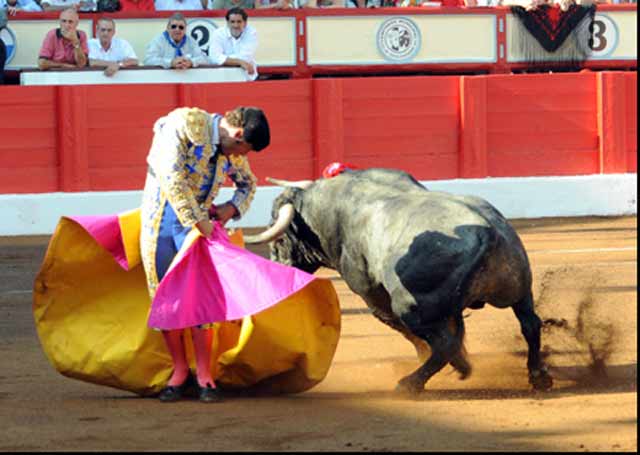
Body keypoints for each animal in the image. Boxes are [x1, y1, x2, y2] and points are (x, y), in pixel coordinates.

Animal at [242, 168, 552, 396]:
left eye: (279, 236)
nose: (276, 268)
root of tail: (490, 233)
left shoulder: (373, 295)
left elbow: (406, 330)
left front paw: (455, 364)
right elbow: (457, 331)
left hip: (411, 307)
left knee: (442, 343)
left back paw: (412, 383)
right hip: (520, 290)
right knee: (529, 324)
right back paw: (538, 377)